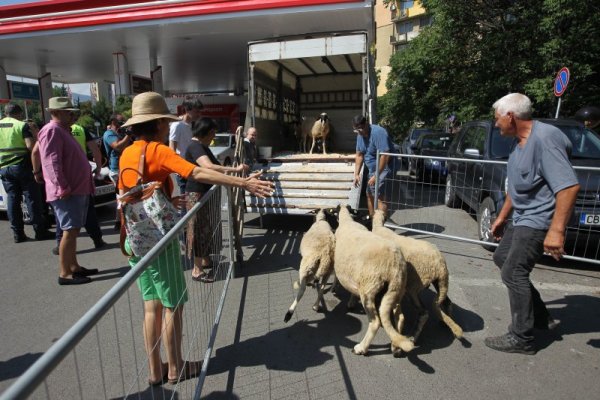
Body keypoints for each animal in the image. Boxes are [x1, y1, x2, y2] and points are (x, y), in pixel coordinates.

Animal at [332, 205, 412, 354]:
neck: (347, 221)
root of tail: (394, 266)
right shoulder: (355, 275)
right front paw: (351, 301)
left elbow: (335, 276)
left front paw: (334, 289)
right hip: (396, 289)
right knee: (400, 317)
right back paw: (396, 346)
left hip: (369, 289)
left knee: (375, 322)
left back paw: (361, 348)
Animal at [370, 209, 464, 344]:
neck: (379, 228)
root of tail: (440, 266)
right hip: (440, 283)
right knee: (447, 302)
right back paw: (445, 323)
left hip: (413, 288)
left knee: (423, 313)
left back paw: (412, 337)